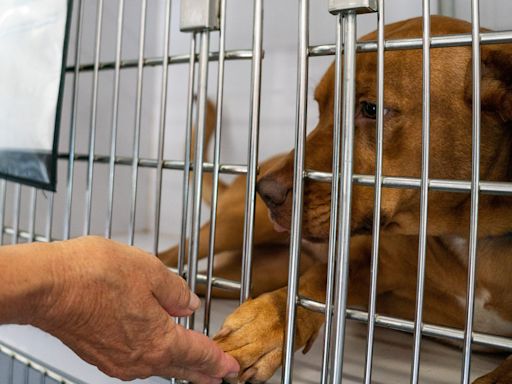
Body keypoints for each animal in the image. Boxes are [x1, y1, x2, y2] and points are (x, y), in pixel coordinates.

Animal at [159, 15, 512, 384]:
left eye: (371, 109)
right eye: (319, 108)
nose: (265, 191)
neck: (471, 235)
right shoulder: (366, 257)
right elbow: (317, 282)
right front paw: (265, 327)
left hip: (256, 271)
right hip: (233, 224)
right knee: (171, 255)